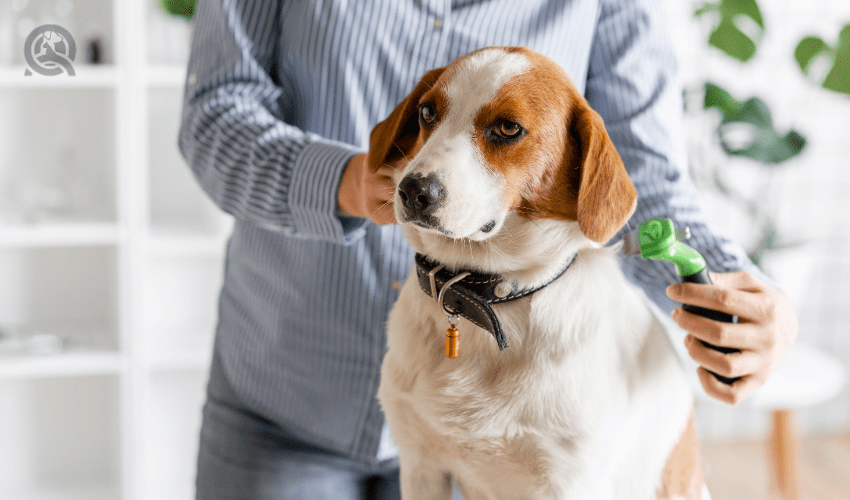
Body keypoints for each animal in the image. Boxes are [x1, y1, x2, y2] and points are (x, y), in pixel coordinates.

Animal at [372, 47, 704, 500]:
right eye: (427, 112)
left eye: (507, 128)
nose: (413, 191)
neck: (491, 296)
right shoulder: (422, 466)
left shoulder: (566, 482)